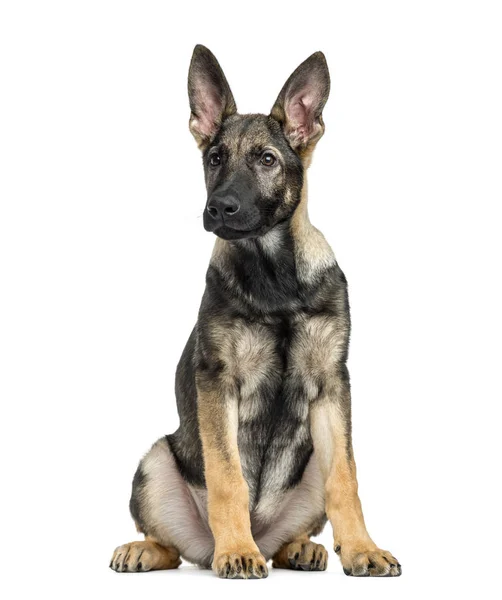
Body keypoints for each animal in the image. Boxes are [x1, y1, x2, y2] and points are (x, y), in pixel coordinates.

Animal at [109, 44, 400, 580]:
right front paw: (235, 552)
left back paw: (299, 548)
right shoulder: (218, 380)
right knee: (172, 546)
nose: (219, 208)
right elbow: (228, 478)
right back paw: (161, 549)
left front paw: (362, 549)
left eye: (267, 159)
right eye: (214, 158)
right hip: (157, 460)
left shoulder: (332, 384)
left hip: (309, 465)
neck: (273, 274)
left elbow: (346, 478)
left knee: (293, 529)